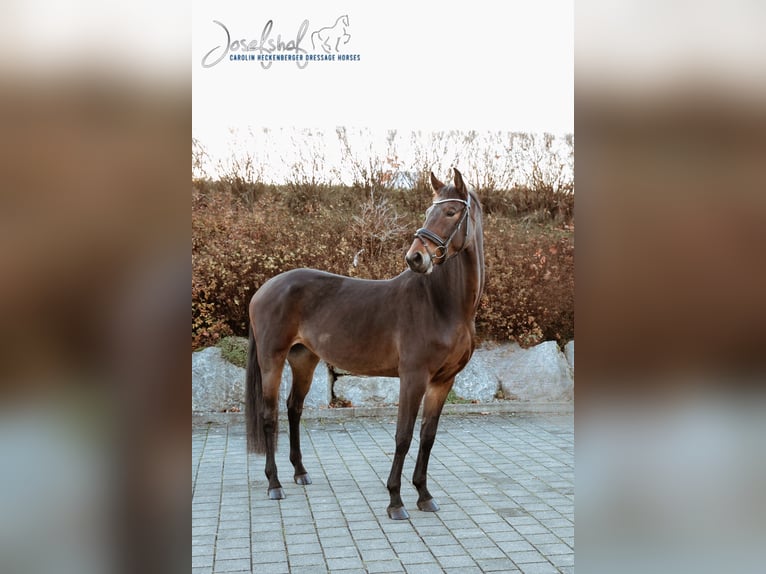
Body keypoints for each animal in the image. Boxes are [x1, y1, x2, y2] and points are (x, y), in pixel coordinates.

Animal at [245, 168, 485, 520]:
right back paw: (274, 484)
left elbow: (427, 436)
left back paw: (300, 472)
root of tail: (265, 288)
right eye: (429, 211)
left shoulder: (443, 381)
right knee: (269, 414)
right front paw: (396, 501)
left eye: (451, 212)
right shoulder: (413, 377)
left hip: (304, 359)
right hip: (271, 359)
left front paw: (424, 495)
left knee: (294, 408)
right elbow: (403, 436)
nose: (415, 257)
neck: (443, 305)